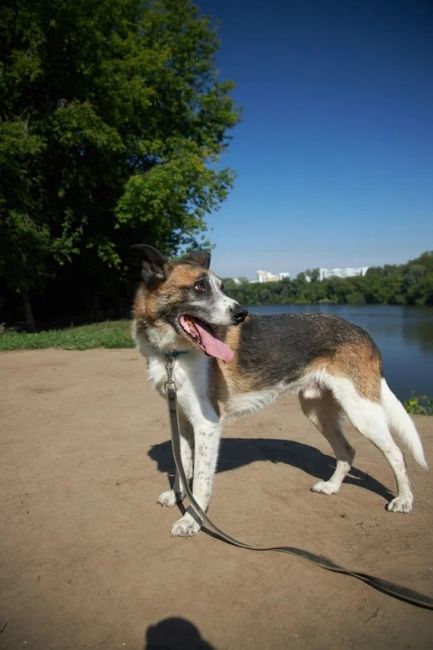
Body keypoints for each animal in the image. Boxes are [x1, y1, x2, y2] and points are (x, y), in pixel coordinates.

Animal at [131, 246, 426, 536]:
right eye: (199, 287)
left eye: (221, 287)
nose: (241, 313)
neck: (173, 355)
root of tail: (364, 333)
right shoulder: (181, 420)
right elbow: (182, 465)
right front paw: (176, 497)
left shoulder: (207, 424)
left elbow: (201, 482)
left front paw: (192, 519)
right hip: (318, 412)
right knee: (347, 451)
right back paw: (332, 487)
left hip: (362, 411)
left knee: (397, 454)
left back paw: (404, 499)